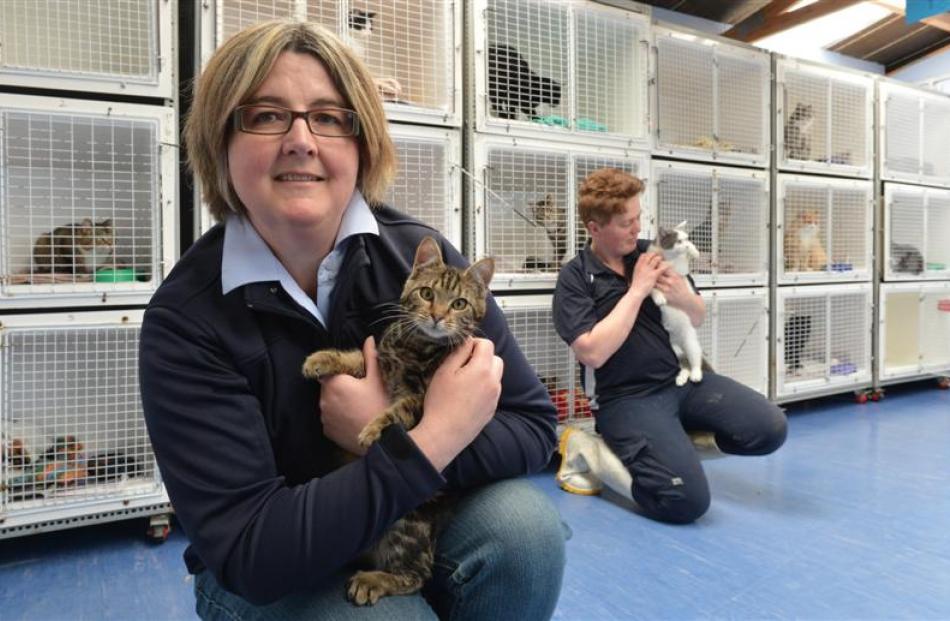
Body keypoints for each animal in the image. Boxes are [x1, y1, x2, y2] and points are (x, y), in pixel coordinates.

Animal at [304, 236, 498, 604]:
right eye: (427, 294)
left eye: (460, 304)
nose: (437, 316)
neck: (416, 344)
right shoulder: (382, 357)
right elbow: (356, 357)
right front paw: (322, 358)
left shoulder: (419, 400)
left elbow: (399, 409)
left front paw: (371, 429)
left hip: (408, 523)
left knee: (418, 576)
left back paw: (375, 580)